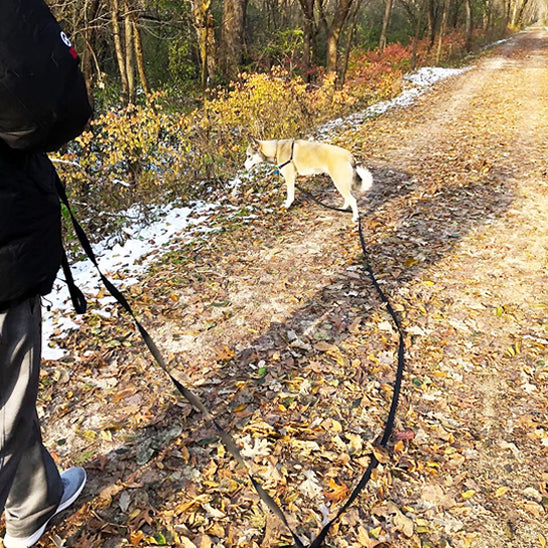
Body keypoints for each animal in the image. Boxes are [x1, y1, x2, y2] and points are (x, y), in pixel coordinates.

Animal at [244, 138, 372, 222]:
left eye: (249, 156)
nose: (244, 167)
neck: (276, 149)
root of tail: (349, 156)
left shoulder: (289, 178)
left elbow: (290, 195)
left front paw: (287, 205)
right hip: (340, 183)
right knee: (348, 198)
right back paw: (343, 209)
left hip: (339, 182)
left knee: (352, 200)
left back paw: (355, 217)